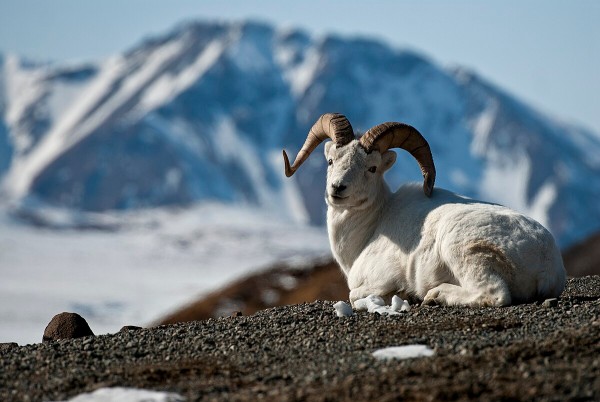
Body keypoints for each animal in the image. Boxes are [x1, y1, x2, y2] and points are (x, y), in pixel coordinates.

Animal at [284, 111, 564, 306]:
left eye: (372, 168)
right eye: (331, 161)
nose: (337, 188)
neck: (372, 227)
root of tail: (546, 260)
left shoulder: (378, 279)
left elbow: (354, 295)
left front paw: (404, 294)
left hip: (463, 250)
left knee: (494, 294)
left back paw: (433, 295)